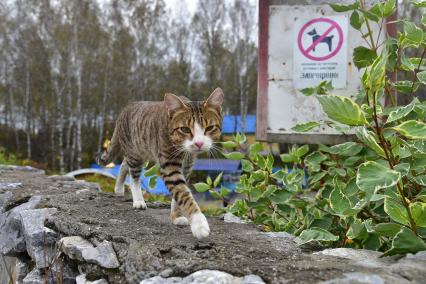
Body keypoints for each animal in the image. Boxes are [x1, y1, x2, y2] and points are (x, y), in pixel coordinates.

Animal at [95, 87, 223, 239]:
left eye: (209, 128)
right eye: (185, 129)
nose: (198, 143)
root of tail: (125, 109)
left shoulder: (187, 165)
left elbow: (178, 194)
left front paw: (176, 216)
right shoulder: (169, 165)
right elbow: (183, 193)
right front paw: (199, 223)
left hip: (142, 150)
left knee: (124, 163)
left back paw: (119, 188)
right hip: (135, 152)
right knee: (134, 176)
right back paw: (138, 200)